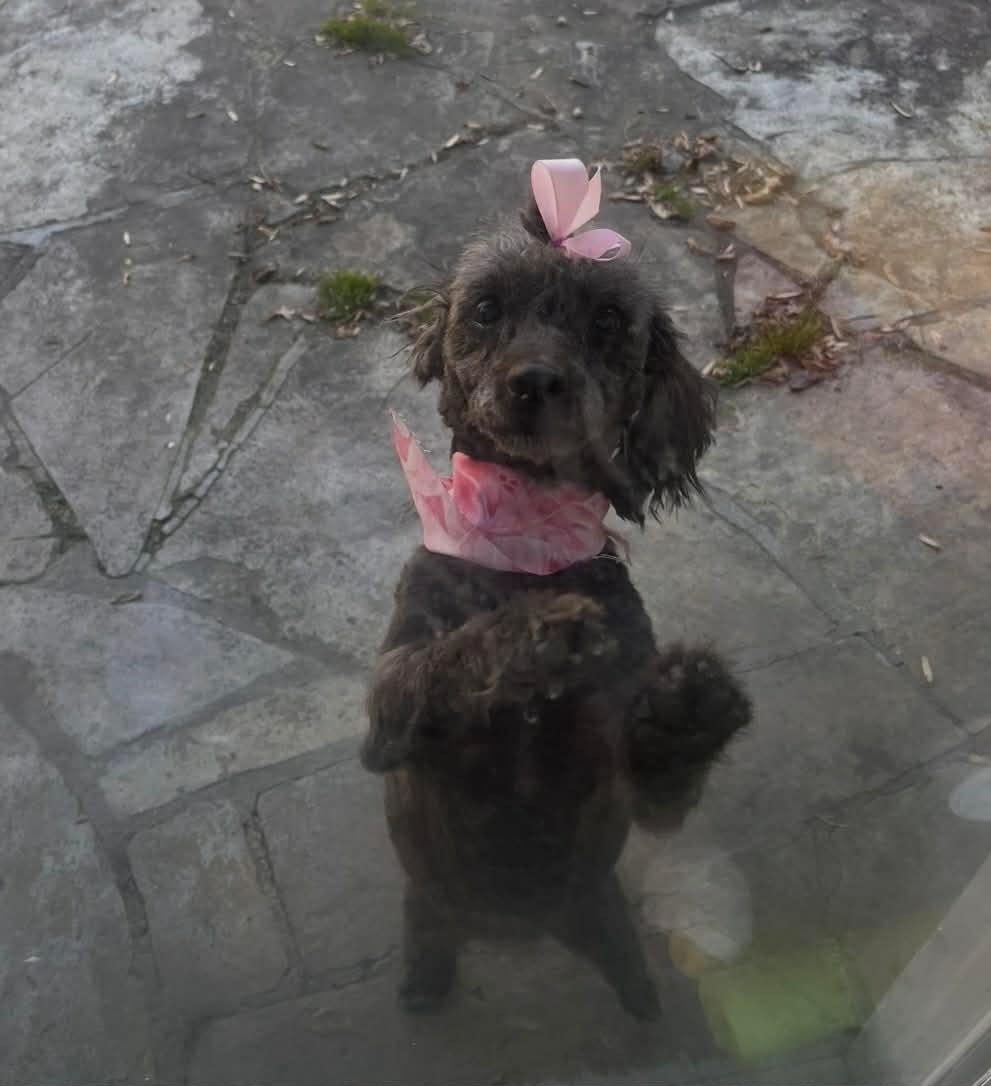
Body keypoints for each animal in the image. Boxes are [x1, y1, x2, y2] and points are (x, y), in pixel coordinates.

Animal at [362, 160, 751, 1020]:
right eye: (485, 308)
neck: (523, 545)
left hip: (599, 918)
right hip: (426, 905)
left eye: (606, 320)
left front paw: (690, 703)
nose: (535, 381)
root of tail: (515, 929)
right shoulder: (385, 722)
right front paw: (538, 634)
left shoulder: (635, 789)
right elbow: (442, 661)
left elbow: (661, 762)